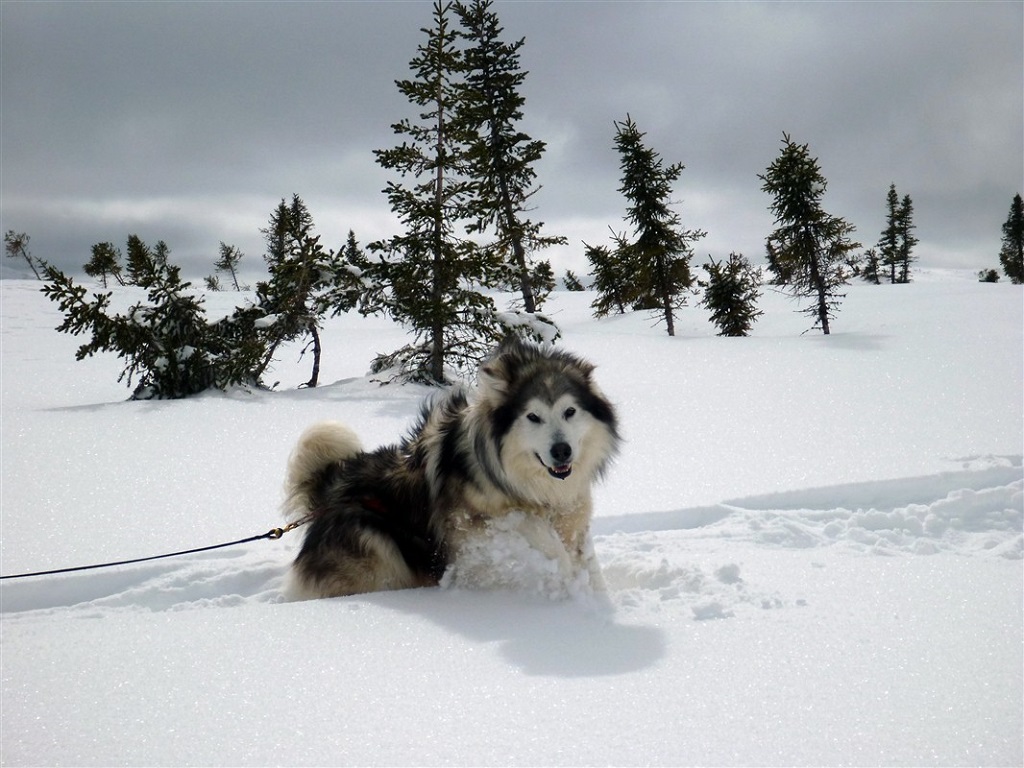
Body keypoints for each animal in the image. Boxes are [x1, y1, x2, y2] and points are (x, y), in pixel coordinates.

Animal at [278, 342, 622, 602]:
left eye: (569, 411)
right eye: (533, 417)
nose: (561, 451)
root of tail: (331, 492)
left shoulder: (571, 517)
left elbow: (580, 556)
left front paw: (593, 594)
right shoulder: (471, 525)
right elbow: (534, 529)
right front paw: (565, 578)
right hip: (375, 545)